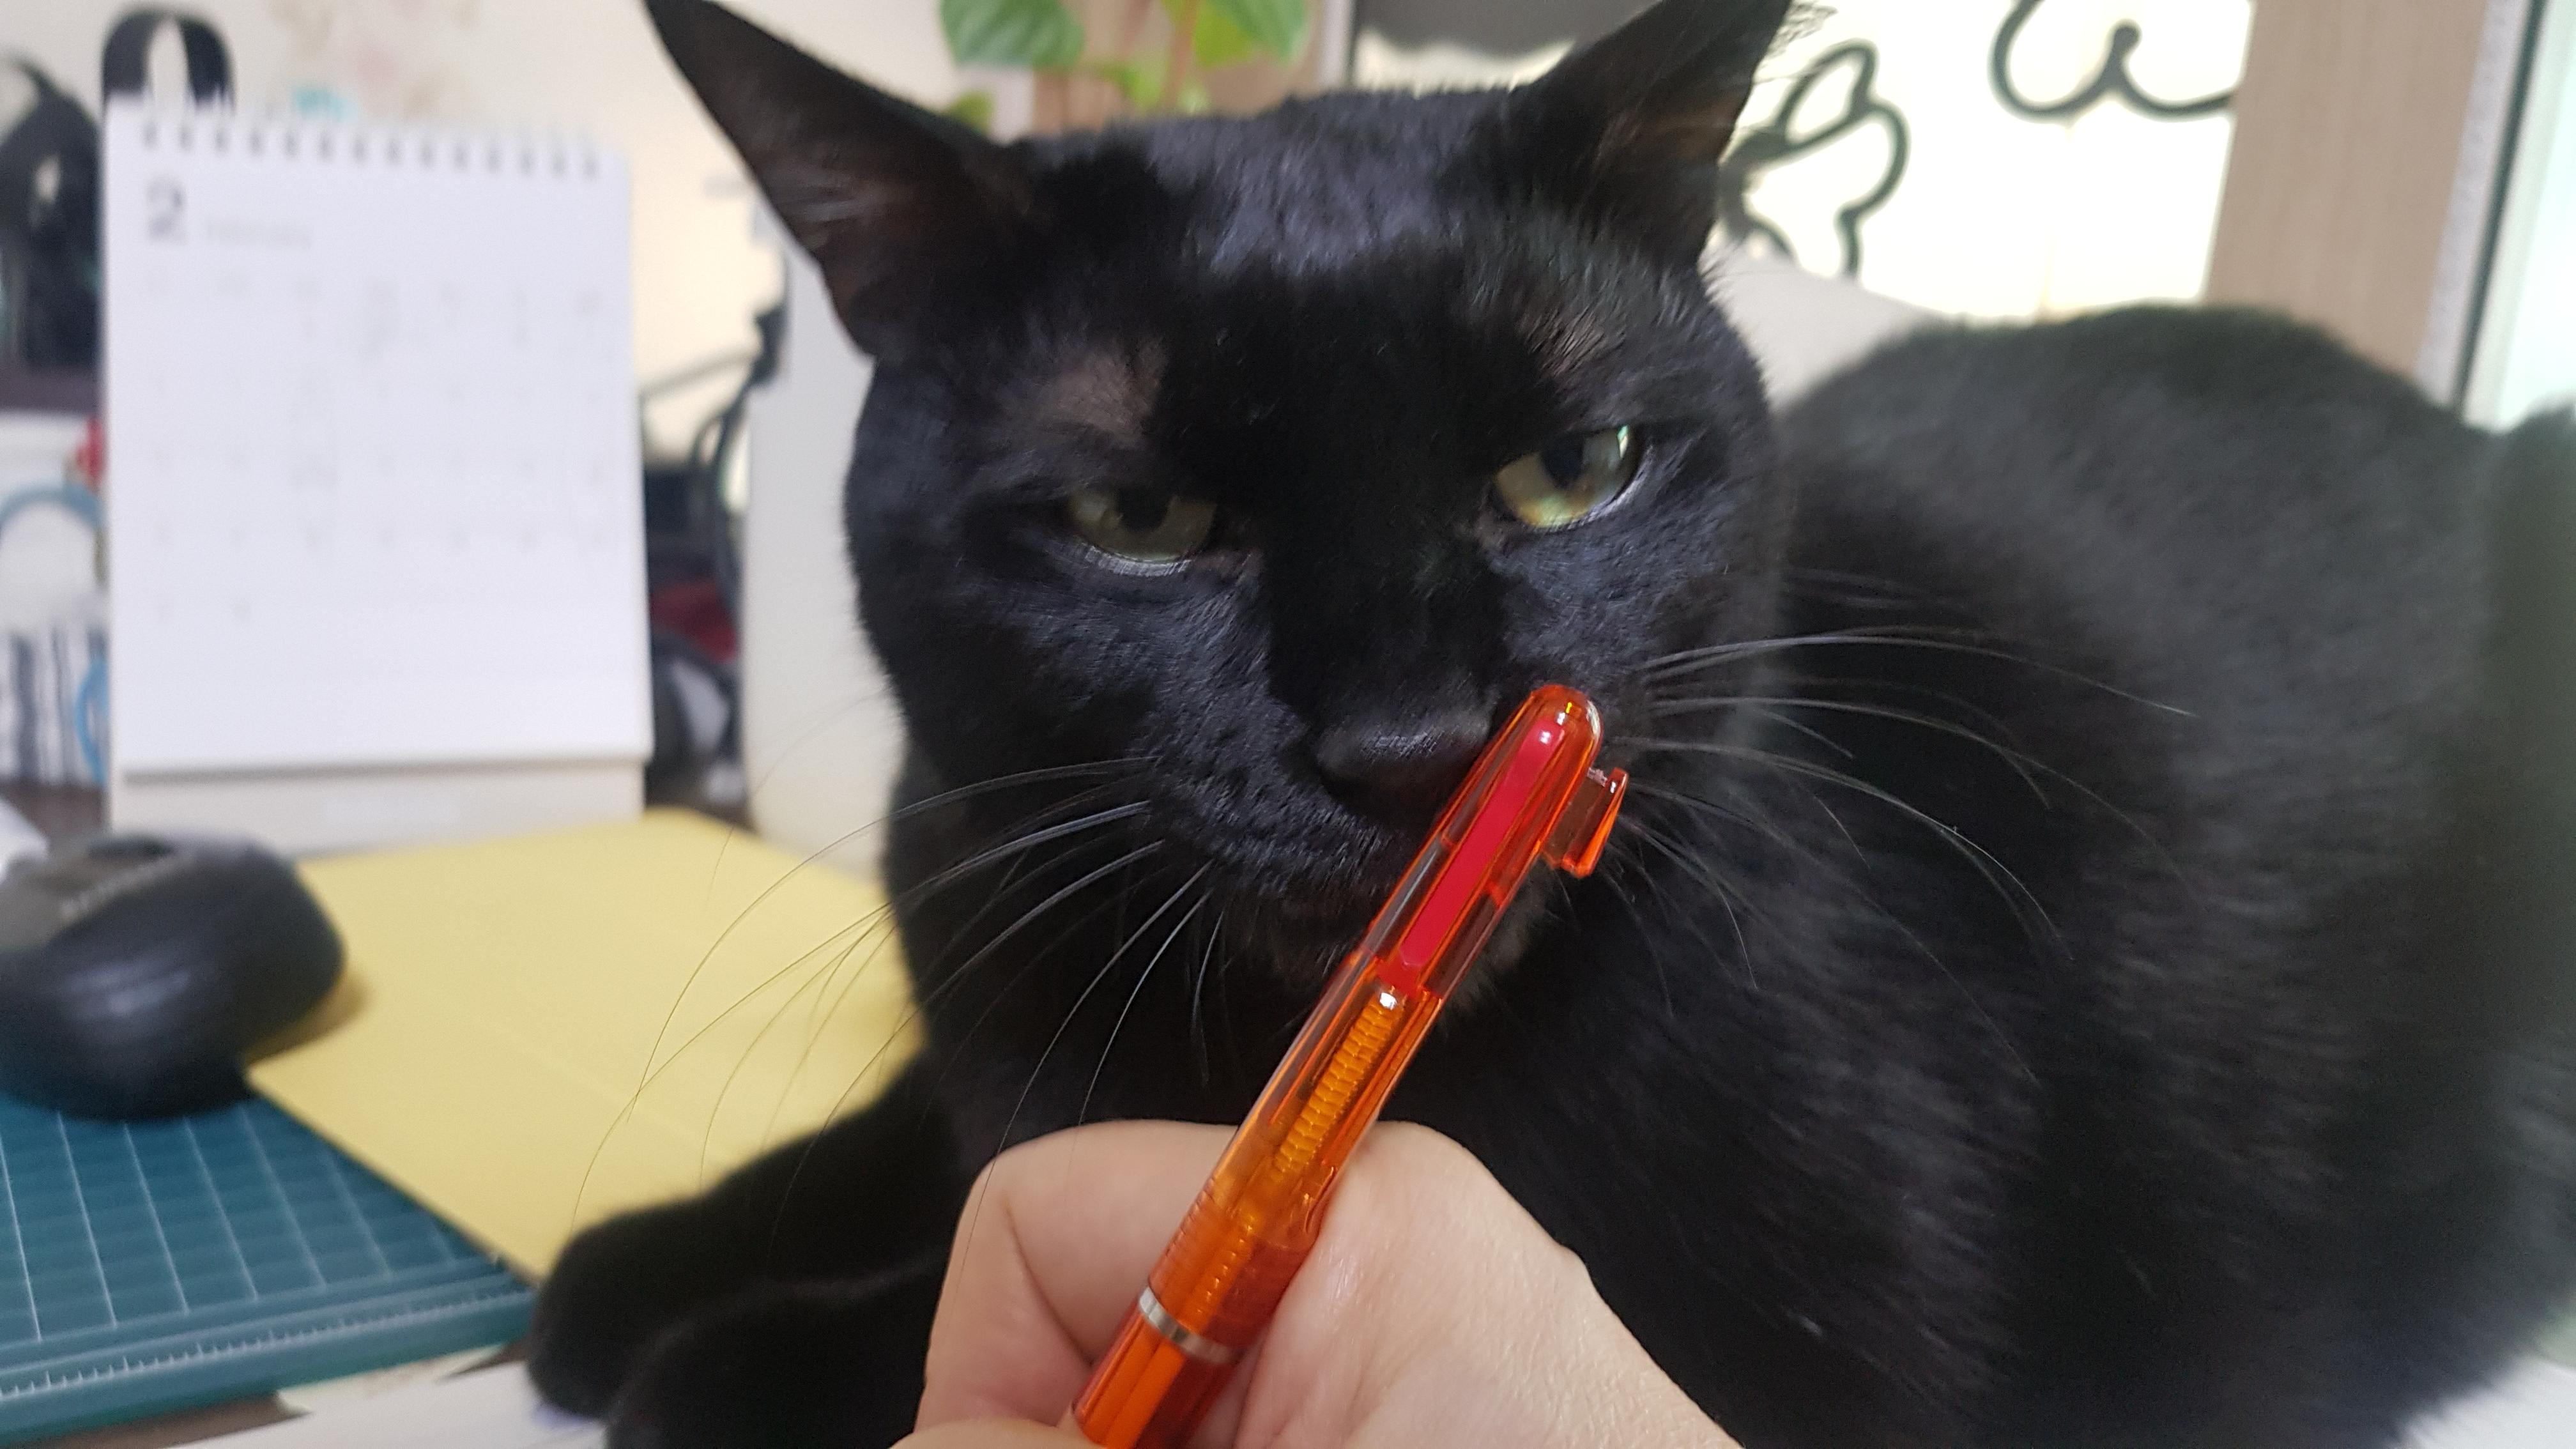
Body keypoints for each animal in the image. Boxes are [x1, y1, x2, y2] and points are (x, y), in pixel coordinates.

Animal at [526, 1, 2576, 1445]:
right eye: (1136, 519)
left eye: (1575, 472)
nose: (1418, 746)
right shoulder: (987, 920)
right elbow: (919, 1123)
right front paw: (646, 1257)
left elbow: (978, 1247)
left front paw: (750, 1361)